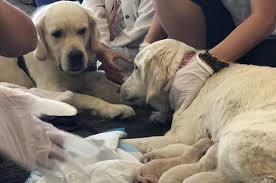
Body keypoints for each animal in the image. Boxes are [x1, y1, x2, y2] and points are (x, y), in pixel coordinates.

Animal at [0, 1, 135, 120]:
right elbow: (83, 97)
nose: (76, 56)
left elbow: (112, 87)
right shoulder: (52, 89)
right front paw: (113, 108)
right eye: (56, 33)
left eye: (82, 30)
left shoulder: (85, 77)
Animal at [121, 39, 276, 182]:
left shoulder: (180, 136)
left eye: (136, 67)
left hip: (234, 142)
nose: (120, 89)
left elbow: (135, 142)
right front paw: (159, 115)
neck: (182, 68)